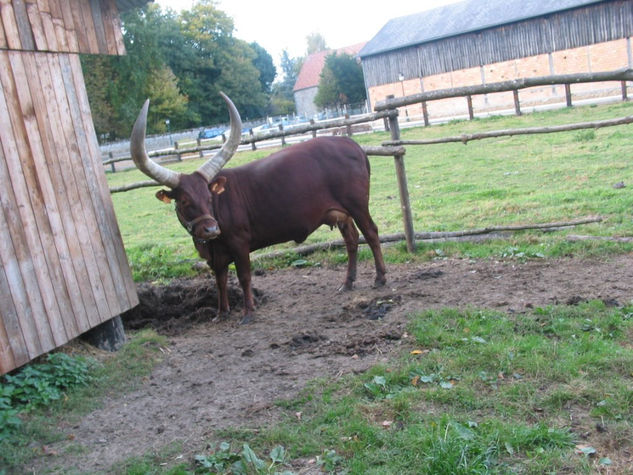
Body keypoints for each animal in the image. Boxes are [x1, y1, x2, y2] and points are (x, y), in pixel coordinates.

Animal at [130, 93, 386, 324]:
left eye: (209, 197)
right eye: (184, 201)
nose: (211, 229)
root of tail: (350, 143)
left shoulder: (239, 243)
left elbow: (244, 277)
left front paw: (248, 312)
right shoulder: (216, 256)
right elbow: (220, 280)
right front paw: (221, 313)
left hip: (358, 205)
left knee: (371, 233)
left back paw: (380, 278)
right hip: (341, 214)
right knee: (351, 240)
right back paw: (347, 283)